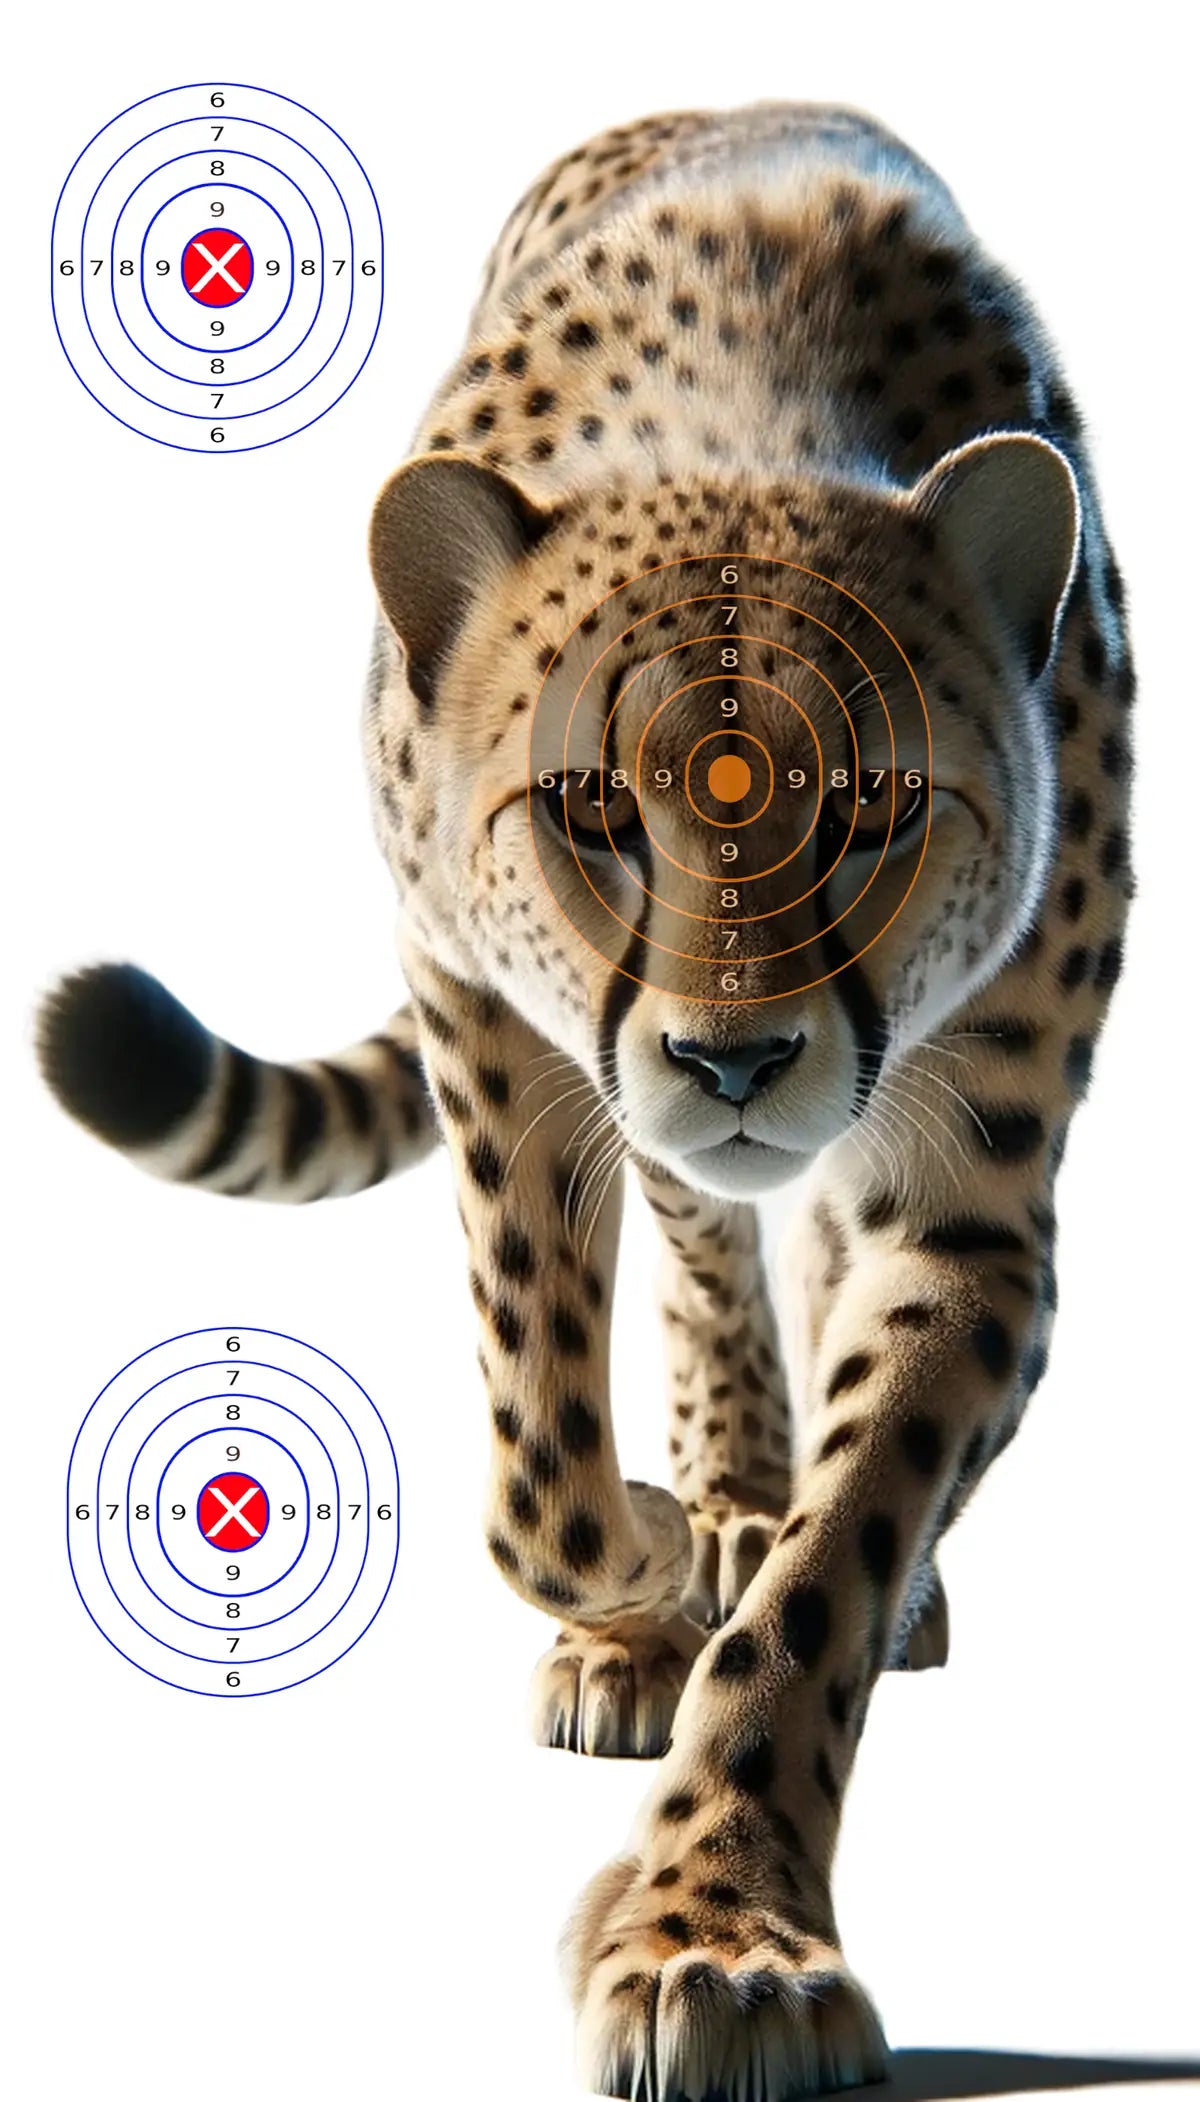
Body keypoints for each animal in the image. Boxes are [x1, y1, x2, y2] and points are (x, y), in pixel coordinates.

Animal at [37, 102, 1135, 2101]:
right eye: (594, 810)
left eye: (874, 801)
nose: (734, 1058)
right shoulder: (481, 1002)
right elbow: (536, 1457)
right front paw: (650, 1566)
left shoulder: (973, 1192)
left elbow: (838, 1558)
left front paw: (722, 1927)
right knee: (704, 1261)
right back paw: (695, 1532)